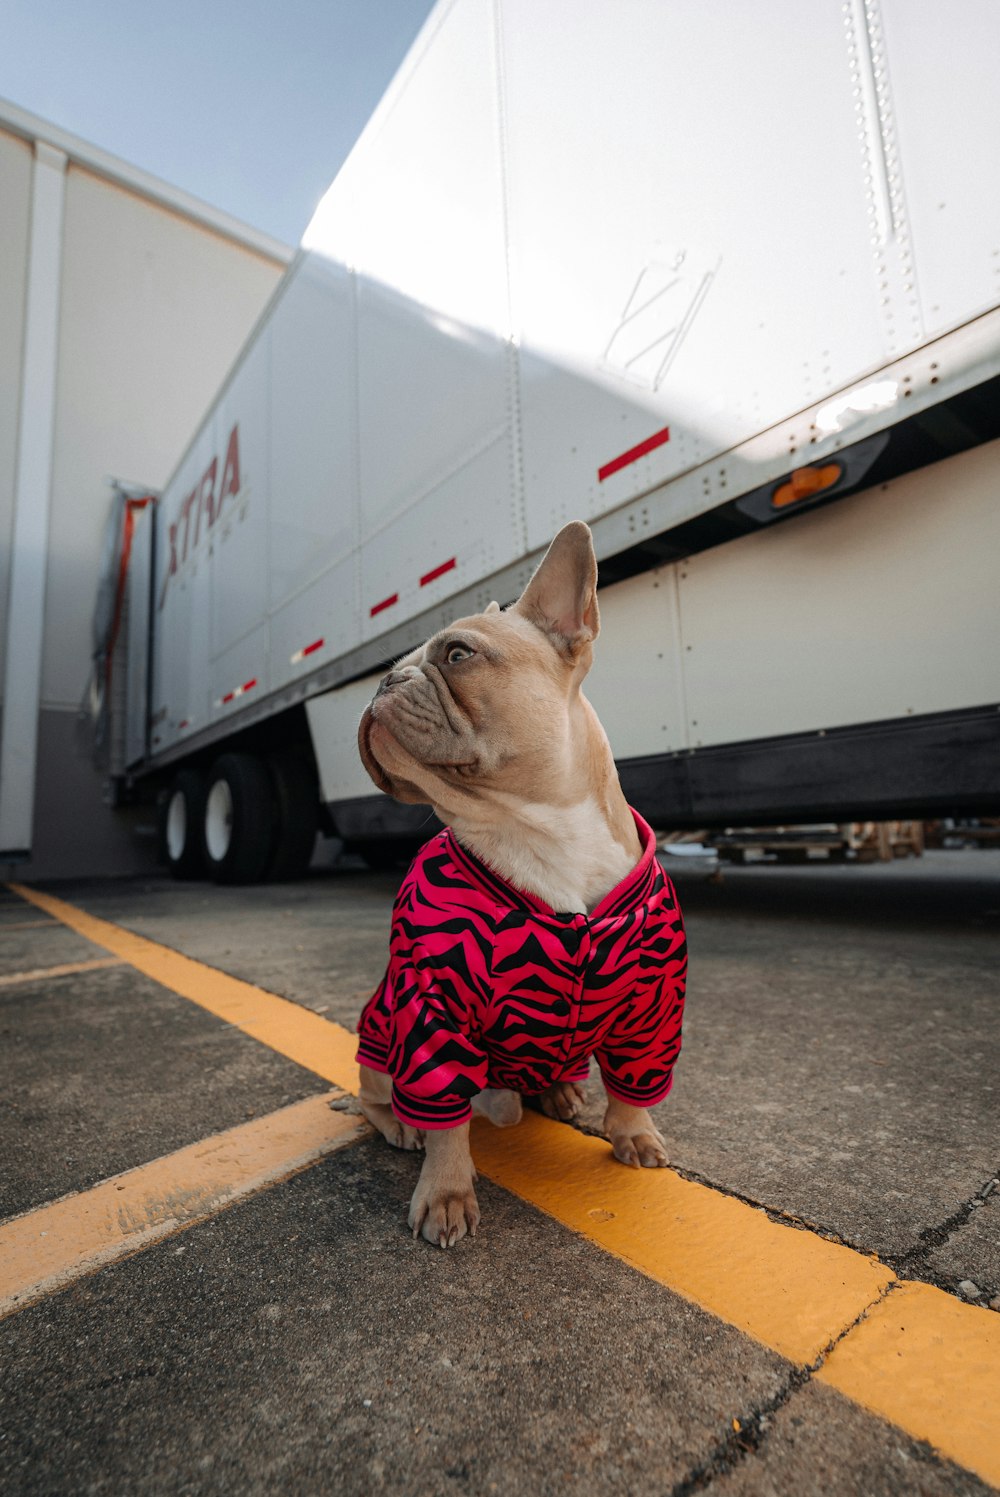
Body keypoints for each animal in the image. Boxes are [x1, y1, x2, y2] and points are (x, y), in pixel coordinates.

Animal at [353, 520, 688, 1245]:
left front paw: (634, 1133)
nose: (384, 682)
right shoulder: (432, 1011)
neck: (537, 828)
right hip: (379, 1031)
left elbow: (633, 1084)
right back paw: (399, 1126)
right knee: (377, 1093)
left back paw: (561, 1092)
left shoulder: (652, 1008)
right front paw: (446, 1192)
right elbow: (446, 1121)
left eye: (457, 654)